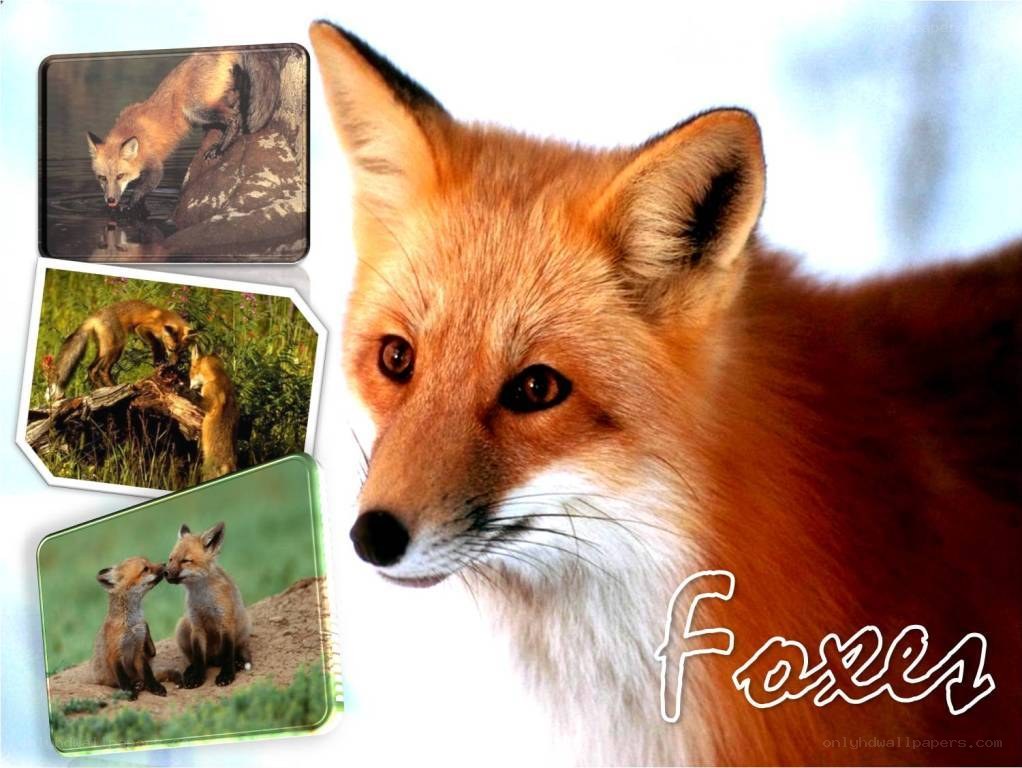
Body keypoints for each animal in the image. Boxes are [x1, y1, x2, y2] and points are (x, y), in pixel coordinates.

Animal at [46, 300, 194, 400]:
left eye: (181, 352)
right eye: (171, 349)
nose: (174, 363)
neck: (163, 319)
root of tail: (94, 317)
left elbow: (160, 349)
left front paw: (163, 362)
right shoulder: (142, 329)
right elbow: (156, 344)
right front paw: (159, 362)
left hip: (104, 350)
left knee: (91, 368)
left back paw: (103, 388)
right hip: (115, 348)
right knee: (101, 370)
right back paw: (113, 387)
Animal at [86, 49, 281, 210]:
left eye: (120, 176)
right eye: (102, 178)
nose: (110, 200)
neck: (132, 129)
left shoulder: (155, 166)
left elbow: (143, 188)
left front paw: (130, 205)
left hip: (194, 109)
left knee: (235, 117)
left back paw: (221, 147)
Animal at [93, 557, 177, 700]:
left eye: (149, 562)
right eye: (145, 569)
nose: (164, 564)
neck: (131, 625)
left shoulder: (139, 649)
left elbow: (148, 673)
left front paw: (155, 687)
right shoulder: (114, 654)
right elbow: (123, 678)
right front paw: (129, 692)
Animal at [166, 522, 252, 688]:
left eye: (185, 561)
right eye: (170, 559)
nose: (164, 572)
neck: (203, 599)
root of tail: (214, 659)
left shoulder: (225, 623)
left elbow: (227, 654)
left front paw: (226, 675)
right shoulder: (196, 625)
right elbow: (199, 657)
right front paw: (197, 677)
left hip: (244, 626)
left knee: (238, 651)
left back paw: (238, 662)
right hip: (182, 626)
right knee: (198, 660)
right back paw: (191, 669)